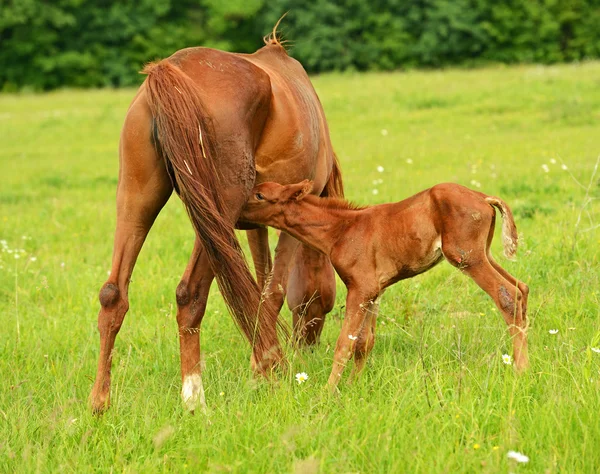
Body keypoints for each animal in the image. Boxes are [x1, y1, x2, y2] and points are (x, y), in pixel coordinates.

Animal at [89, 30, 342, 414]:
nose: (307, 345)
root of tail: (171, 70)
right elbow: (273, 291)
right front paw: (265, 369)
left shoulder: (255, 224)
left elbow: (259, 288)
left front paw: (264, 363)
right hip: (214, 214)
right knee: (190, 294)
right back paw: (194, 398)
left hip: (138, 199)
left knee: (113, 294)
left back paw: (99, 403)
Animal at [240, 180, 528, 390]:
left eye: (260, 195)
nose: (237, 214)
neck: (340, 230)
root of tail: (485, 198)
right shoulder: (374, 291)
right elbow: (363, 343)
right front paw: (354, 387)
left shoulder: (360, 288)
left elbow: (344, 344)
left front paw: (329, 392)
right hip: (483, 253)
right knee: (522, 287)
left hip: (465, 257)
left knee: (508, 294)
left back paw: (520, 369)